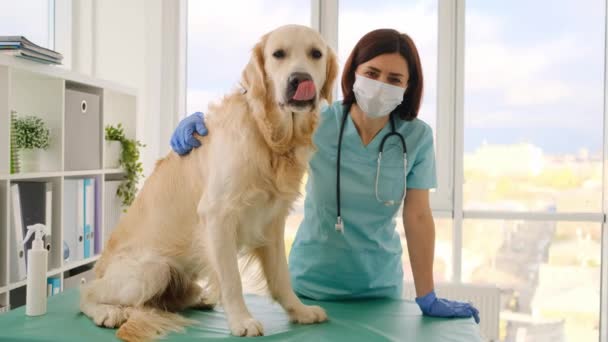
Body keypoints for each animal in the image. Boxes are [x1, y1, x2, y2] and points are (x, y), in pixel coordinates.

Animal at [77, 24, 338, 342]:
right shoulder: (218, 215)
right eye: (278, 54)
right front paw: (242, 320)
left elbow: (281, 276)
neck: (267, 134)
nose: (300, 79)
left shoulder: (272, 222)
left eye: (316, 54)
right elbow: (232, 279)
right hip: (152, 269)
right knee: (86, 292)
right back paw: (107, 312)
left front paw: (299, 311)